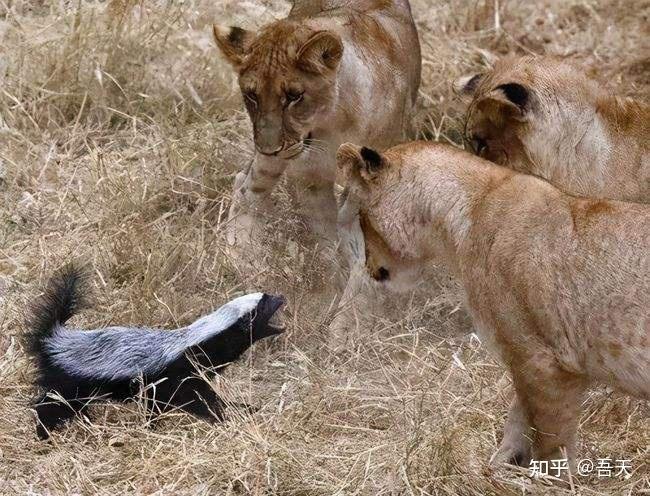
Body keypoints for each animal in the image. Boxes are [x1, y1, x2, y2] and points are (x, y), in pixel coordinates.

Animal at [210, 0, 418, 264]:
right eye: (251, 96)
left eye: (294, 96)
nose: (268, 149)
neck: (335, 122)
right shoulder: (311, 177)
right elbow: (328, 234)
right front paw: (335, 269)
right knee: (247, 187)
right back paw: (239, 253)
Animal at [334, 140, 648, 468]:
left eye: (361, 219)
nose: (369, 268)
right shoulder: (529, 361)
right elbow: (518, 419)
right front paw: (499, 466)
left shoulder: (543, 360)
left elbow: (550, 439)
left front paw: (547, 474)